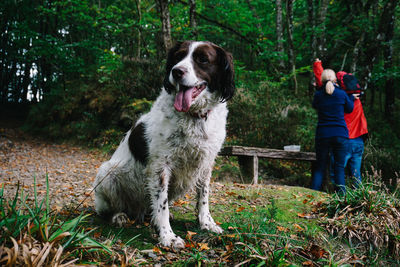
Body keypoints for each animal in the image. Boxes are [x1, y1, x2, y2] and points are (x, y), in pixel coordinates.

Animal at [93, 40, 234, 249]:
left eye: (202, 59)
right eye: (178, 56)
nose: (176, 72)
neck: (194, 116)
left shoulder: (206, 163)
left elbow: (203, 197)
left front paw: (206, 223)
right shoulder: (160, 167)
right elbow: (162, 204)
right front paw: (168, 236)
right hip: (107, 172)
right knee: (109, 209)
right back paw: (119, 216)